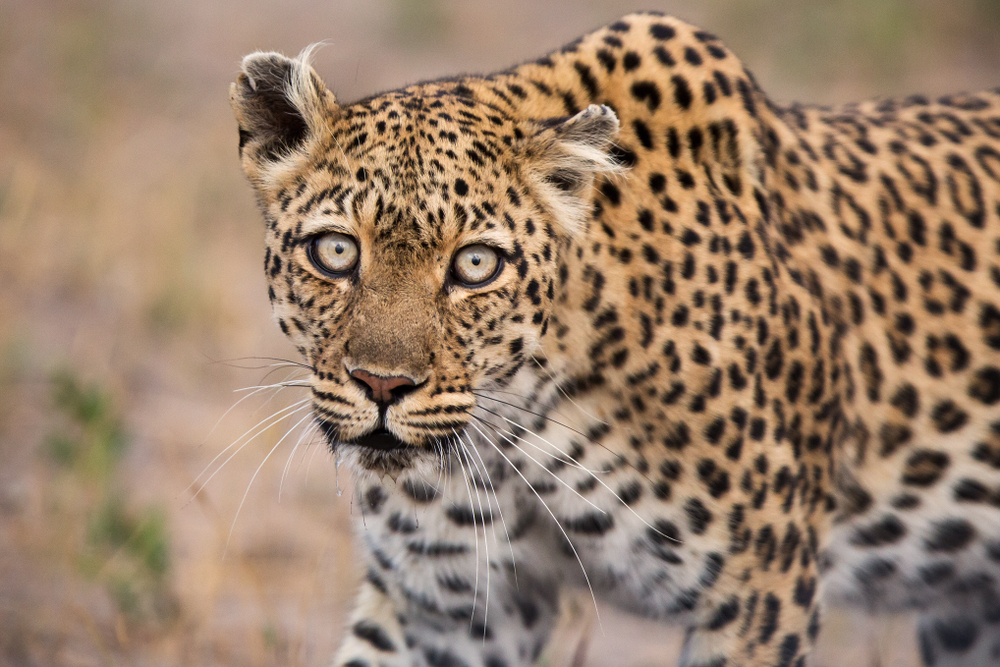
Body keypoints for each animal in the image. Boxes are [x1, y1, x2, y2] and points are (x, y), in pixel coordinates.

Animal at [230, 11, 1000, 667]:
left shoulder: (759, 591)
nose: (383, 385)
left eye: (475, 264)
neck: (522, 416)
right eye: (335, 251)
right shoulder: (447, 606)